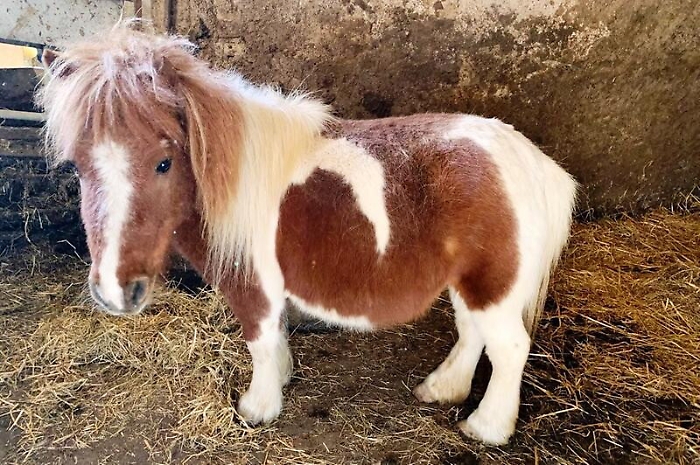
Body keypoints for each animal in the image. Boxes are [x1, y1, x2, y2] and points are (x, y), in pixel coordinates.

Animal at [37, 25, 577, 445]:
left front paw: (257, 408)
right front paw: (281, 380)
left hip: (494, 286)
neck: (234, 173)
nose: (113, 291)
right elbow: (274, 337)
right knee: (472, 334)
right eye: (78, 166)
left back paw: (487, 427)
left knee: (508, 348)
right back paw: (443, 389)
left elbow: (258, 339)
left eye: (163, 162)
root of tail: (534, 163)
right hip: (471, 284)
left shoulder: (252, 284)